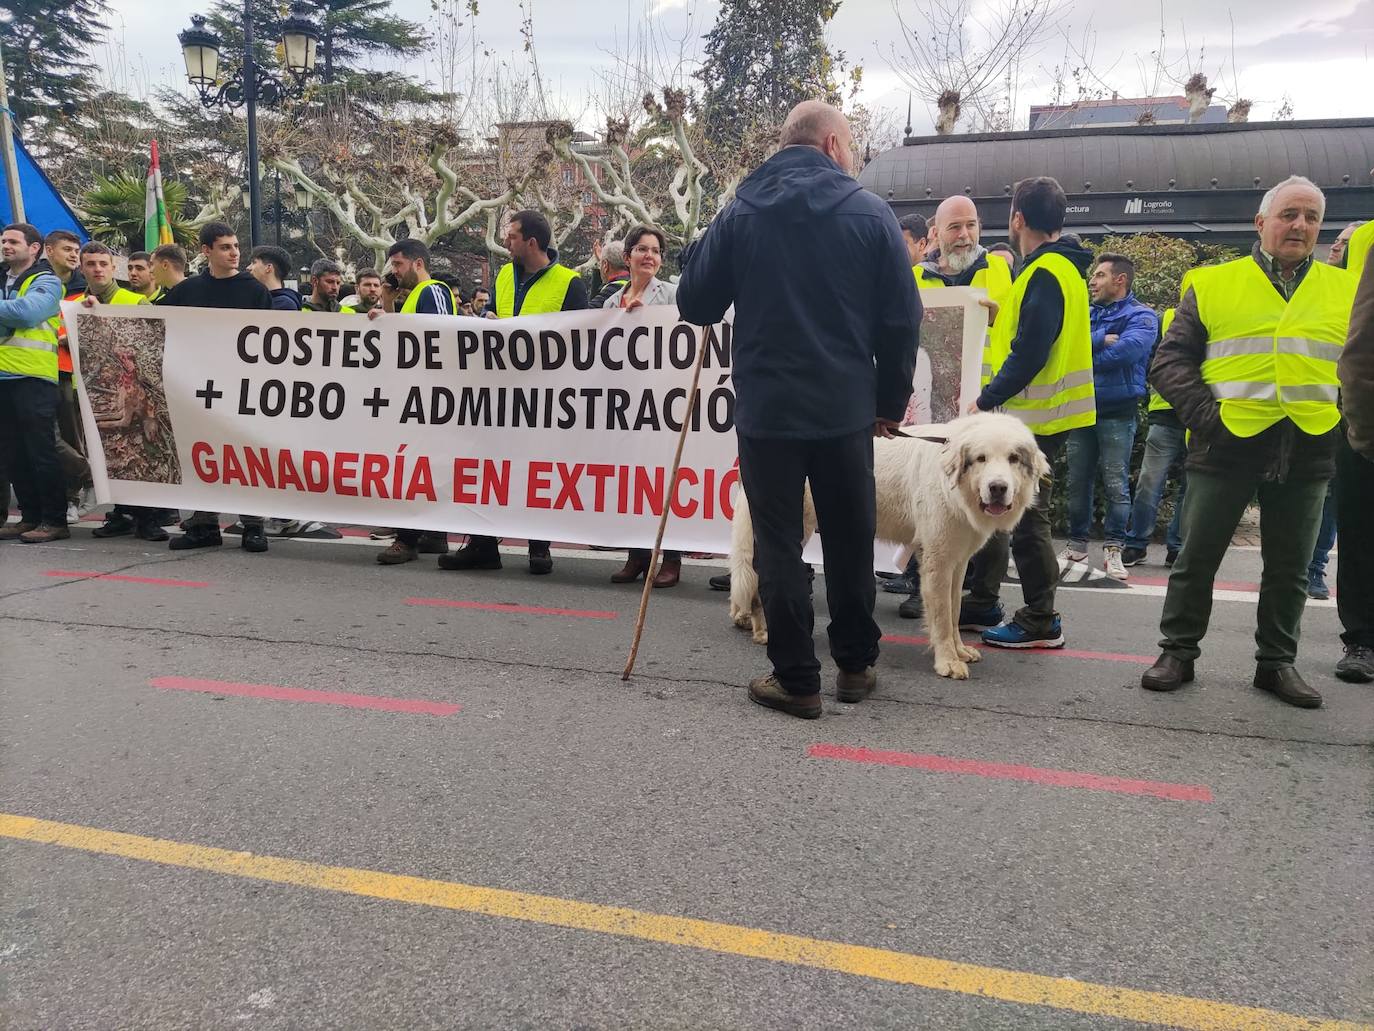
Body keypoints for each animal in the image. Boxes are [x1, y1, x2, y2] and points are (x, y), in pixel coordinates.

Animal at [736, 406, 1044, 681]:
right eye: (981, 458)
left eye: (1013, 458)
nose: (998, 487)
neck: (955, 487)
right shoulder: (938, 560)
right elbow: (943, 617)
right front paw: (947, 661)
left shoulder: (957, 561)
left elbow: (955, 609)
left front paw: (959, 651)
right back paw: (763, 630)